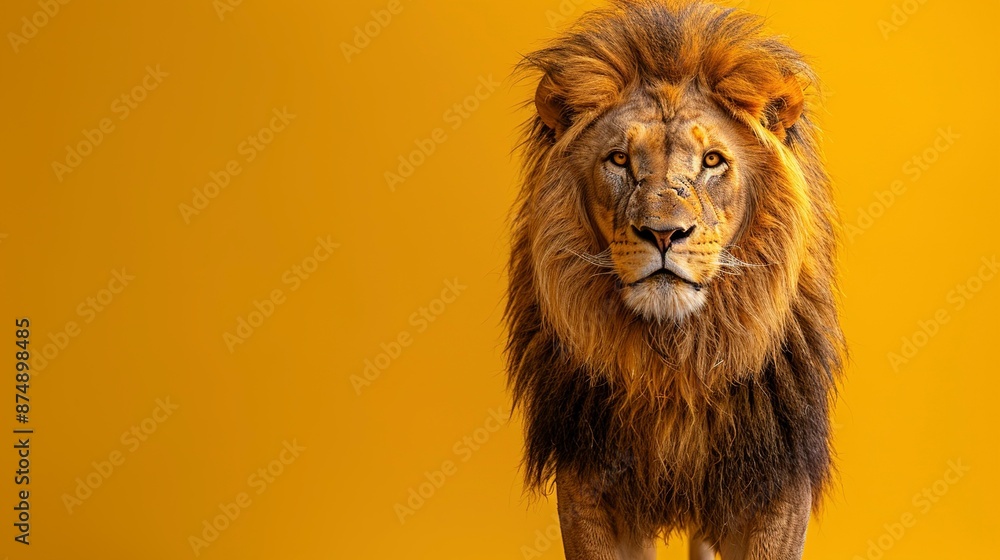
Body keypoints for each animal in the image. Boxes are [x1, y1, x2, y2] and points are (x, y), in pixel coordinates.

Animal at [504, 1, 846, 559]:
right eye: (619, 159)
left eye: (712, 161)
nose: (663, 233)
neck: (677, 361)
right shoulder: (590, 484)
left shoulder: (776, 478)